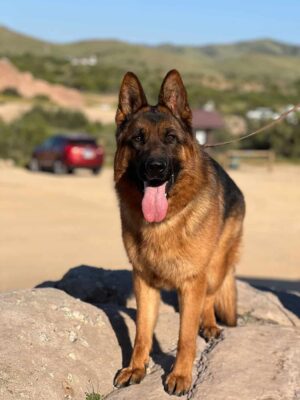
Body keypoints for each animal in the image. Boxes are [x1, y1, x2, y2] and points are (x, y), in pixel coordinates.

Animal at [113, 69, 245, 394]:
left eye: (171, 138)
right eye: (138, 139)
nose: (155, 168)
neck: (164, 223)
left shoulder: (191, 282)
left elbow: (185, 336)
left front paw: (181, 376)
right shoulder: (144, 283)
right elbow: (141, 333)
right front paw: (136, 368)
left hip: (214, 269)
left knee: (209, 299)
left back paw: (209, 325)